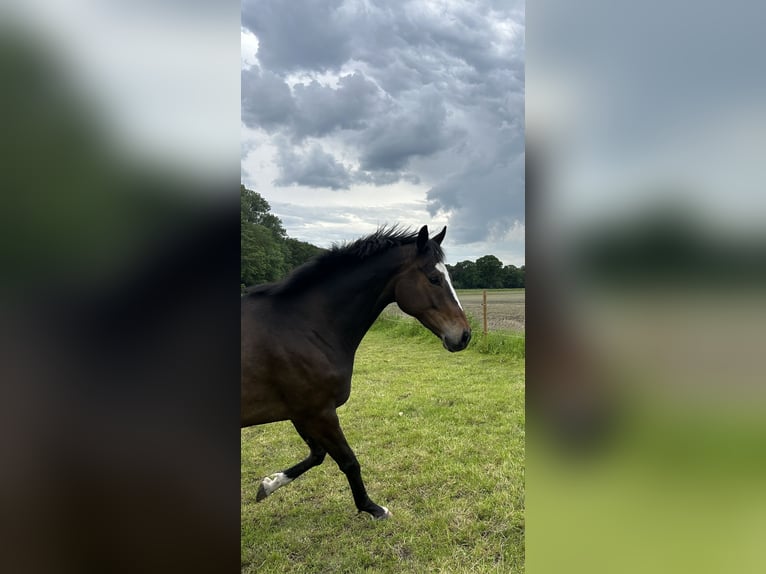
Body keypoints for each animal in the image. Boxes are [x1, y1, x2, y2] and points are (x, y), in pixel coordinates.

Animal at [243, 226, 474, 520]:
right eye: (434, 279)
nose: (464, 335)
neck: (301, 326)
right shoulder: (320, 413)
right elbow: (349, 461)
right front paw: (373, 508)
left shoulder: (302, 413)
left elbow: (317, 455)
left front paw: (268, 485)